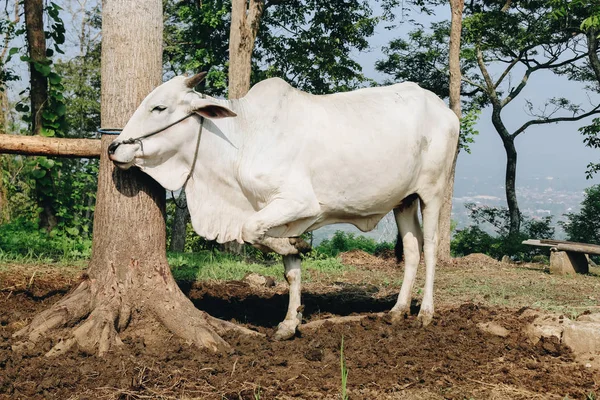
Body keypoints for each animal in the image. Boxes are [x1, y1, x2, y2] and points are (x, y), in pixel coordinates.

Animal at [109, 72, 460, 340]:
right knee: (412, 250)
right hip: (404, 201)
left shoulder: (299, 203)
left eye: (159, 107)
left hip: (432, 193)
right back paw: (397, 311)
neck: (243, 138)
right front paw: (290, 322)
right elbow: (289, 269)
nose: (113, 147)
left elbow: (250, 231)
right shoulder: (278, 214)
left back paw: (425, 312)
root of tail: (445, 110)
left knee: (430, 247)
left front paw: (298, 246)